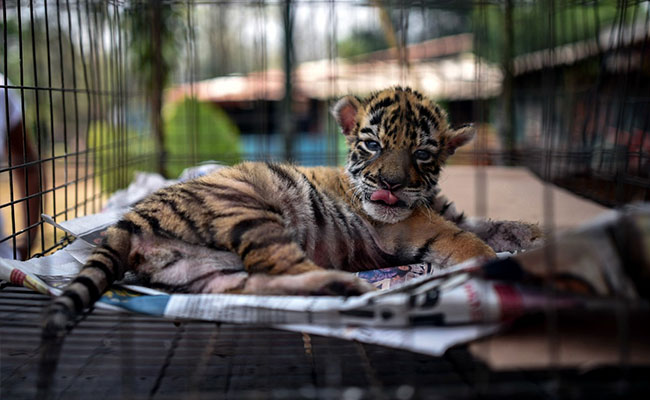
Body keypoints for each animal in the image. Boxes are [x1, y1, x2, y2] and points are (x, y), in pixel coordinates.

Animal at [42, 86, 543, 337]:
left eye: (422, 154)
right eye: (373, 146)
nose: (390, 184)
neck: (424, 198)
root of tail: (130, 219)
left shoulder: (448, 211)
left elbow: (492, 224)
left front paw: (534, 237)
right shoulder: (412, 226)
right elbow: (466, 240)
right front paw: (496, 263)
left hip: (209, 276)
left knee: (262, 285)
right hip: (251, 213)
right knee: (282, 265)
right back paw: (354, 289)